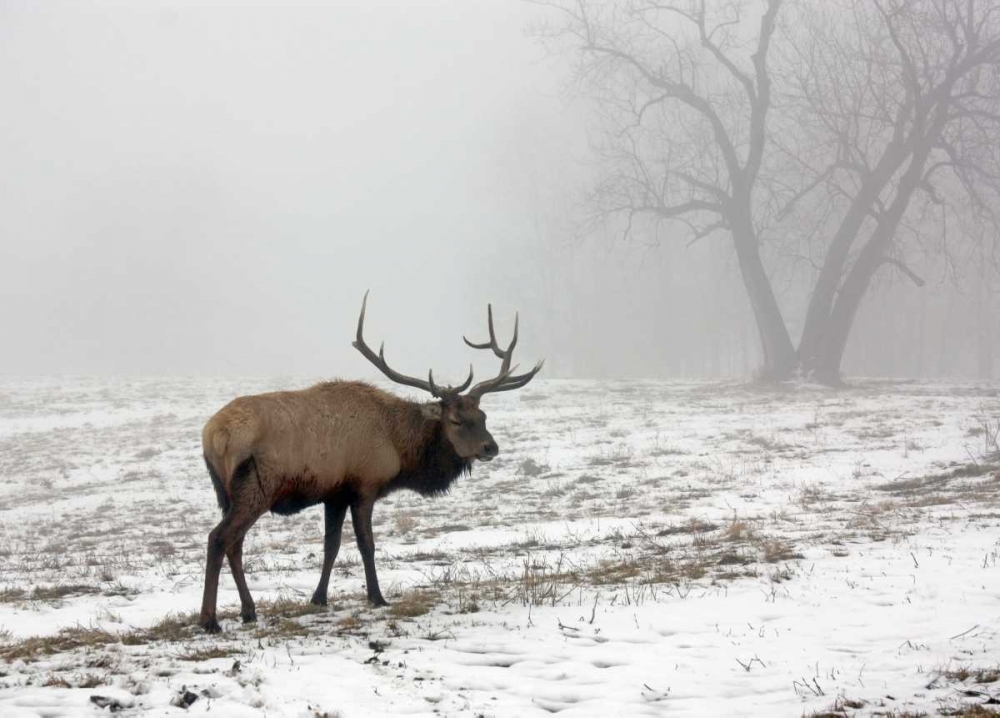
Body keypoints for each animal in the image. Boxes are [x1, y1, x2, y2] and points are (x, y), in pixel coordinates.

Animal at [198, 292, 543, 632]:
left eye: (482, 416)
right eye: (456, 420)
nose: (490, 447)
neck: (398, 448)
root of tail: (212, 434)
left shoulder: (335, 494)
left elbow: (332, 546)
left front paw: (319, 597)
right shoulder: (364, 485)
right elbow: (367, 544)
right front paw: (377, 596)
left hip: (228, 494)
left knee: (235, 544)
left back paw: (248, 610)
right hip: (256, 487)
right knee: (219, 538)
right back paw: (209, 619)